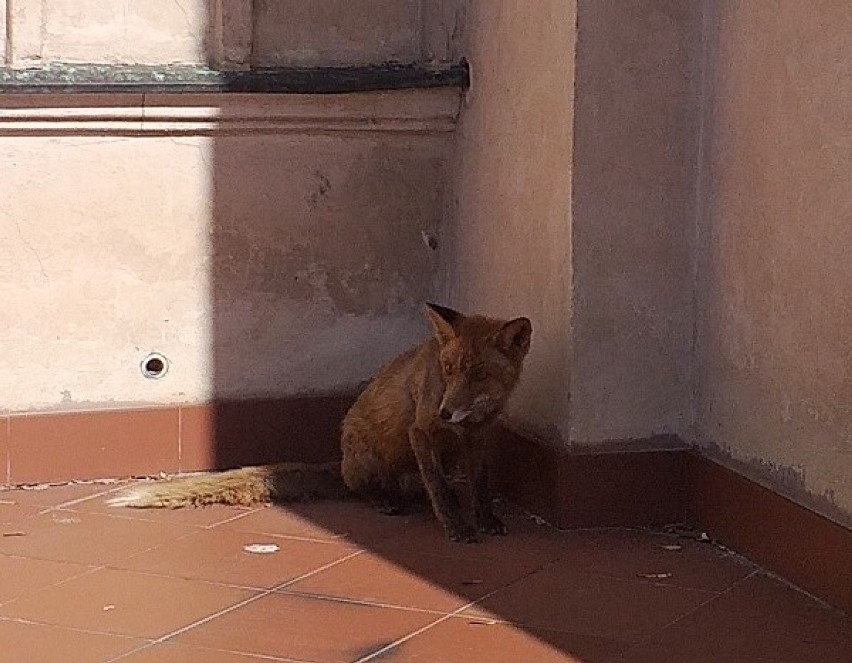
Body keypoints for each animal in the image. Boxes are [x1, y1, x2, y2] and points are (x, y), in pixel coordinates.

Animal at [109, 304, 528, 544]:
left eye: (480, 374)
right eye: (448, 369)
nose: (445, 412)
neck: (467, 422)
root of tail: (340, 462)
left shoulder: (481, 439)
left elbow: (480, 486)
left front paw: (486, 518)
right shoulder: (421, 431)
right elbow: (440, 489)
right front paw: (457, 527)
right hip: (370, 463)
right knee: (362, 490)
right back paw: (384, 501)